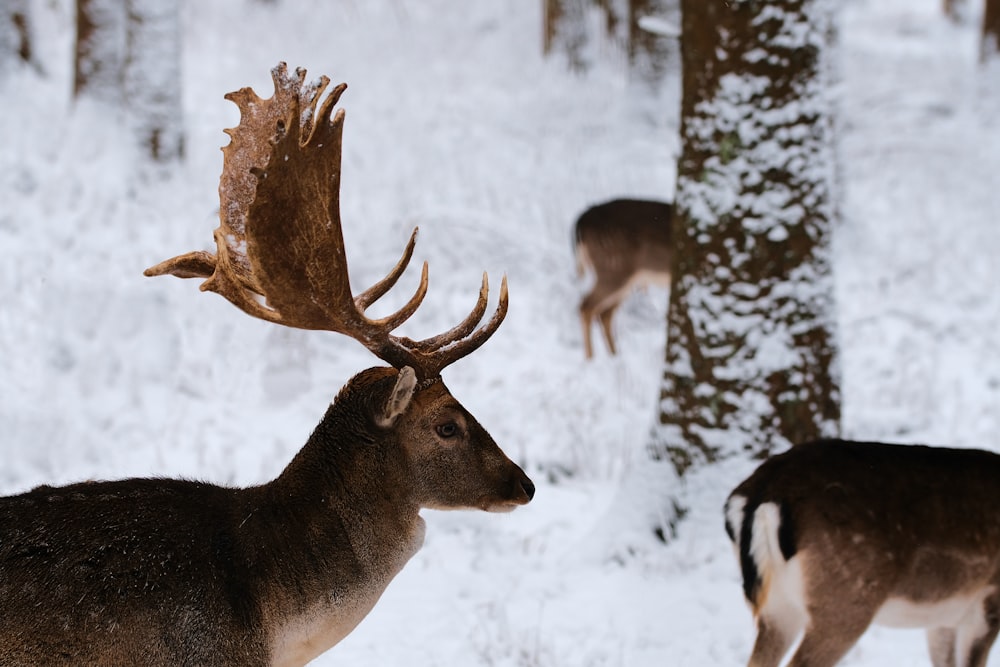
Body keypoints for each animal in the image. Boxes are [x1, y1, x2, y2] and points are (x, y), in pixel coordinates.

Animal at [572, 198, 672, 360]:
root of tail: (581, 221)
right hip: (614, 267)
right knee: (586, 307)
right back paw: (592, 360)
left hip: (624, 278)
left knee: (604, 313)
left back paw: (615, 357)